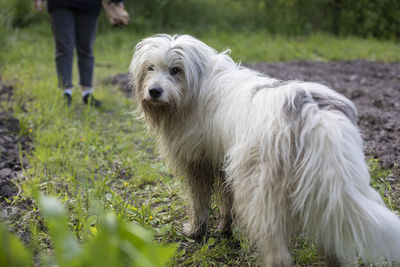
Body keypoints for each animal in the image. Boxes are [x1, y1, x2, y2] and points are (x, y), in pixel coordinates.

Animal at [130, 34, 400, 266]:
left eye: (175, 70)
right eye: (150, 68)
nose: (154, 91)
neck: (198, 85)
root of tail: (312, 115)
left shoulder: (197, 164)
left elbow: (199, 203)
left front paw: (196, 231)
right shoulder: (223, 162)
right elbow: (227, 201)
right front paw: (224, 228)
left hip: (261, 191)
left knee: (277, 250)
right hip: (324, 189)